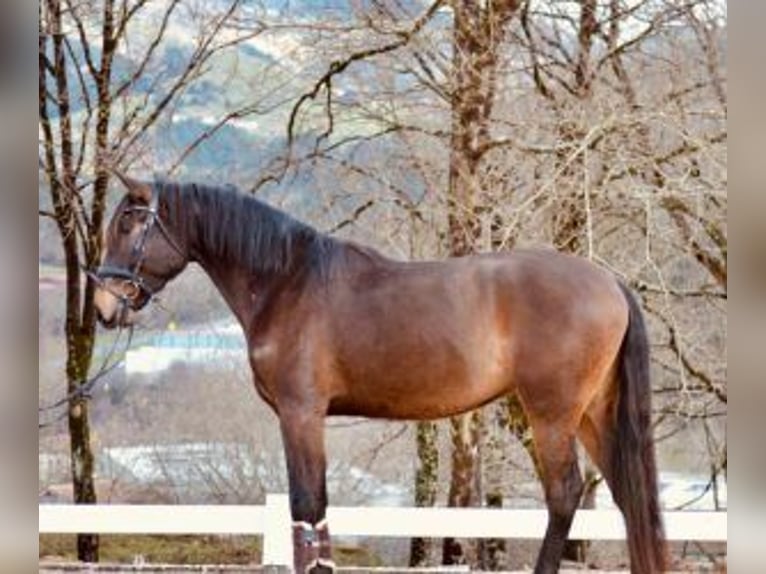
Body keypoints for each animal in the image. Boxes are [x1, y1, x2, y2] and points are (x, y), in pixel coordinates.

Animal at [94, 173, 664, 572]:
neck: (288, 281)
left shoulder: (300, 414)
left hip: (551, 414)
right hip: (592, 414)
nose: (103, 305)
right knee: (627, 494)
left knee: (564, 493)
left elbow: (307, 506)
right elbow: (314, 511)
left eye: (127, 222)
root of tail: (609, 281)